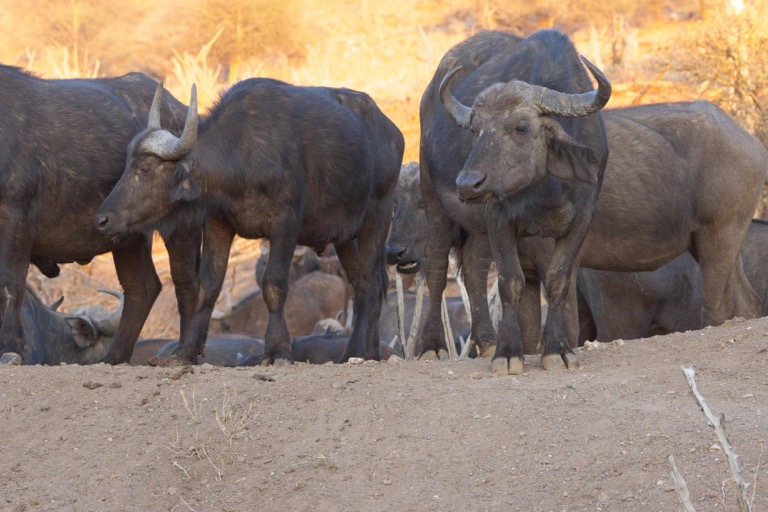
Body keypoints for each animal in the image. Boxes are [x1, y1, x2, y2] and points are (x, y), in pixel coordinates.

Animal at [0, 66, 201, 364]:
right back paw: (115, 356)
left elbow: (11, 283)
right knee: (142, 288)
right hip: (129, 238)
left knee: (186, 282)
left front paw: (10, 348)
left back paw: (185, 352)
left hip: (181, 227)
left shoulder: (16, 219)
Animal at [96, 79, 404, 365]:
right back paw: (370, 352)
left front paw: (277, 350)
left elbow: (274, 284)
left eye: (145, 169)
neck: (243, 156)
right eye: (126, 165)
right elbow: (208, 288)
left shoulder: (285, 226)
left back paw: (355, 352)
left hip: (376, 216)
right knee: (365, 284)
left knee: (371, 282)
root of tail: (392, 133)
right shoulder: (218, 224)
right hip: (345, 237)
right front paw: (186, 351)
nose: (102, 219)